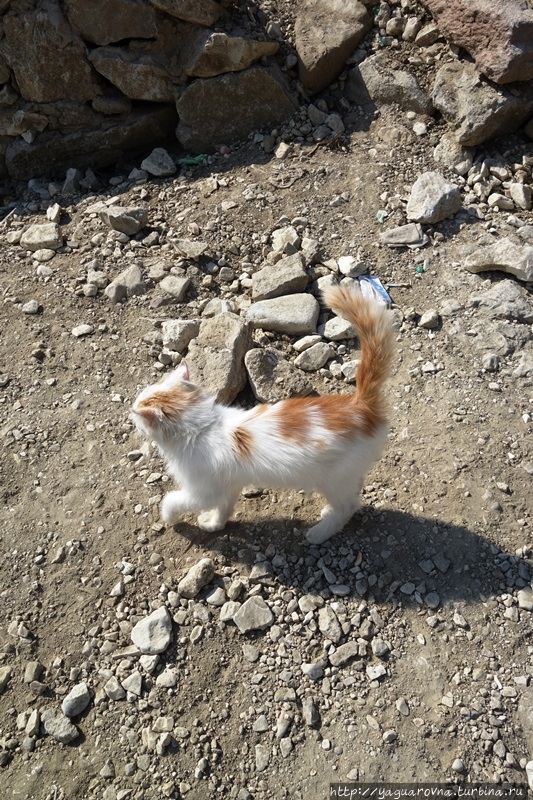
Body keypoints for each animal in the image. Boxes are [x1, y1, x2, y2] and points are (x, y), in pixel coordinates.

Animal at [130, 284, 394, 548]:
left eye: (136, 412)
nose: (131, 411)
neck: (202, 427)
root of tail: (359, 403)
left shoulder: (203, 490)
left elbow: (172, 499)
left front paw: (169, 517)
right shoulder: (228, 485)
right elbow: (224, 508)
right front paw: (214, 524)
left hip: (333, 478)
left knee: (347, 506)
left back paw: (320, 532)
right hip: (344, 476)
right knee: (353, 494)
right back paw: (327, 512)